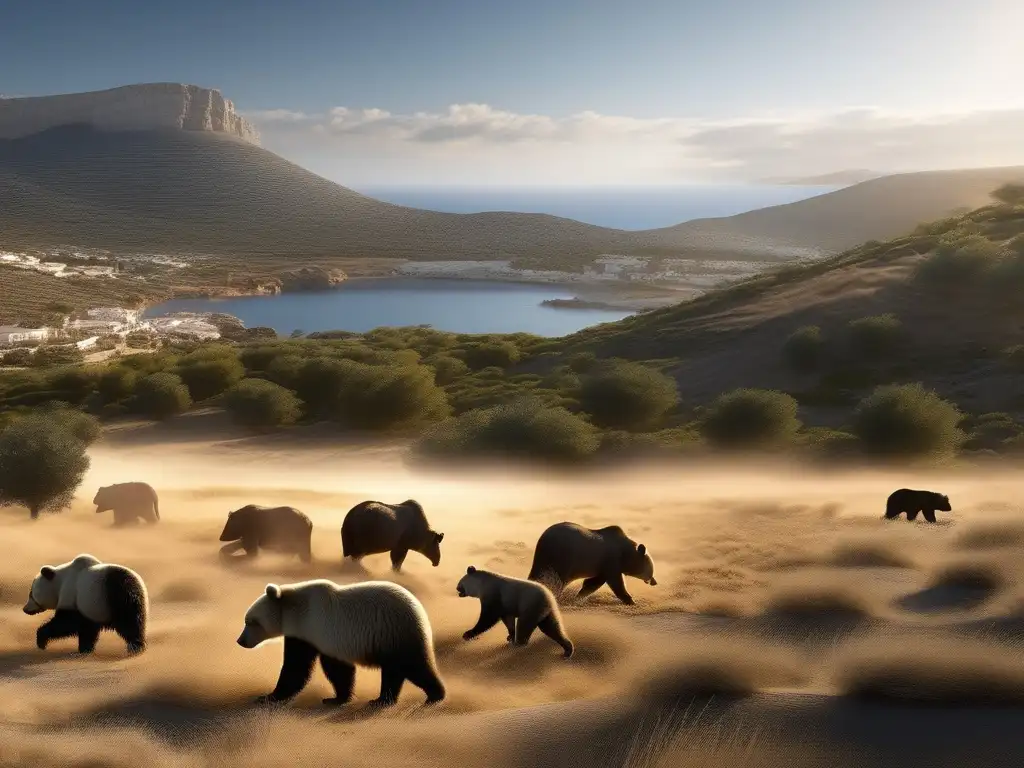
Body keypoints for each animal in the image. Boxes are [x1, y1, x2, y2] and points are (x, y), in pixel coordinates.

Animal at [239, 577, 448, 708]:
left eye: (251, 621)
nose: (240, 641)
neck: (294, 607)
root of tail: (420, 609)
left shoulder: (314, 625)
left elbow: (300, 667)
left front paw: (268, 697)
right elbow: (336, 668)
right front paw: (339, 697)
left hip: (396, 631)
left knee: (414, 665)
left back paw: (435, 695)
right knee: (393, 671)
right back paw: (382, 700)